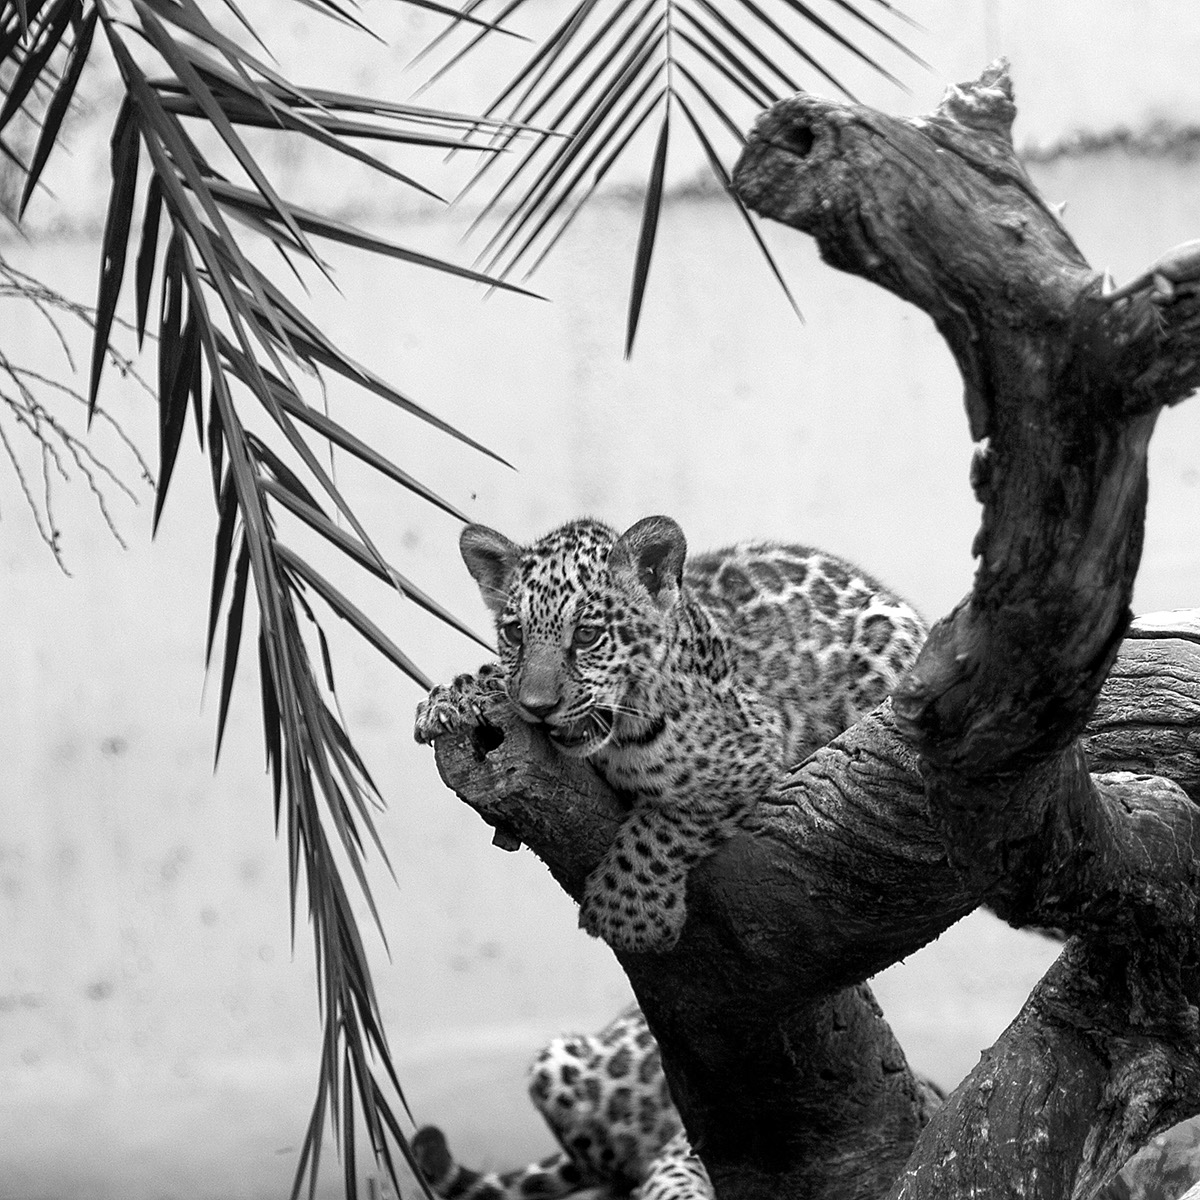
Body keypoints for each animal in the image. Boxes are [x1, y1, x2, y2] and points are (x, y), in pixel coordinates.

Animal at [413, 514, 926, 955]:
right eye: (516, 633)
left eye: (587, 635)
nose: (538, 708)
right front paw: (451, 699)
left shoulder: (755, 744)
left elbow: (665, 827)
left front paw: (629, 912)